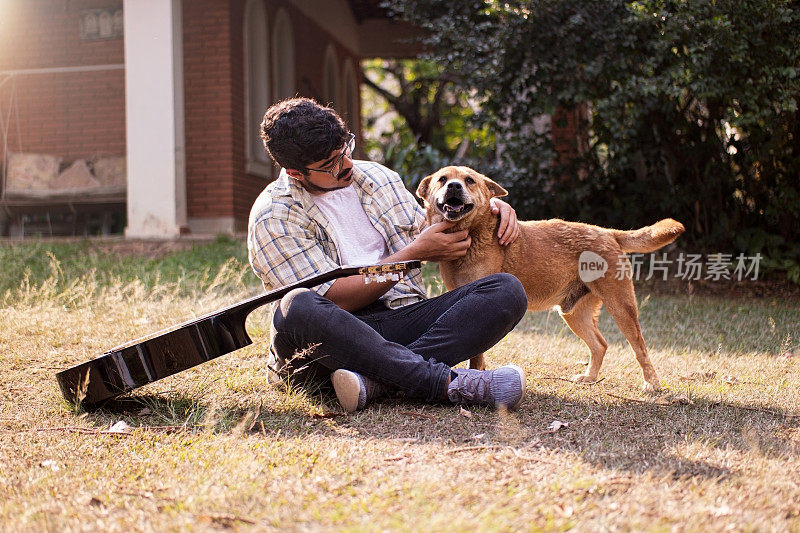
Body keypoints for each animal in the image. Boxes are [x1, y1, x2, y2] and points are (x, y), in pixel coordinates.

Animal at [416, 166, 684, 390]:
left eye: (469, 180)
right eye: (442, 179)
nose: (454, 186)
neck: (471, 234)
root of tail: (607, 232)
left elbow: (477, 355)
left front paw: (476, 373)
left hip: (621, 307)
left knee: (640, 348)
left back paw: (651, 383)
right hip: (574, 313)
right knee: (600, 345)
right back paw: (590, 377)